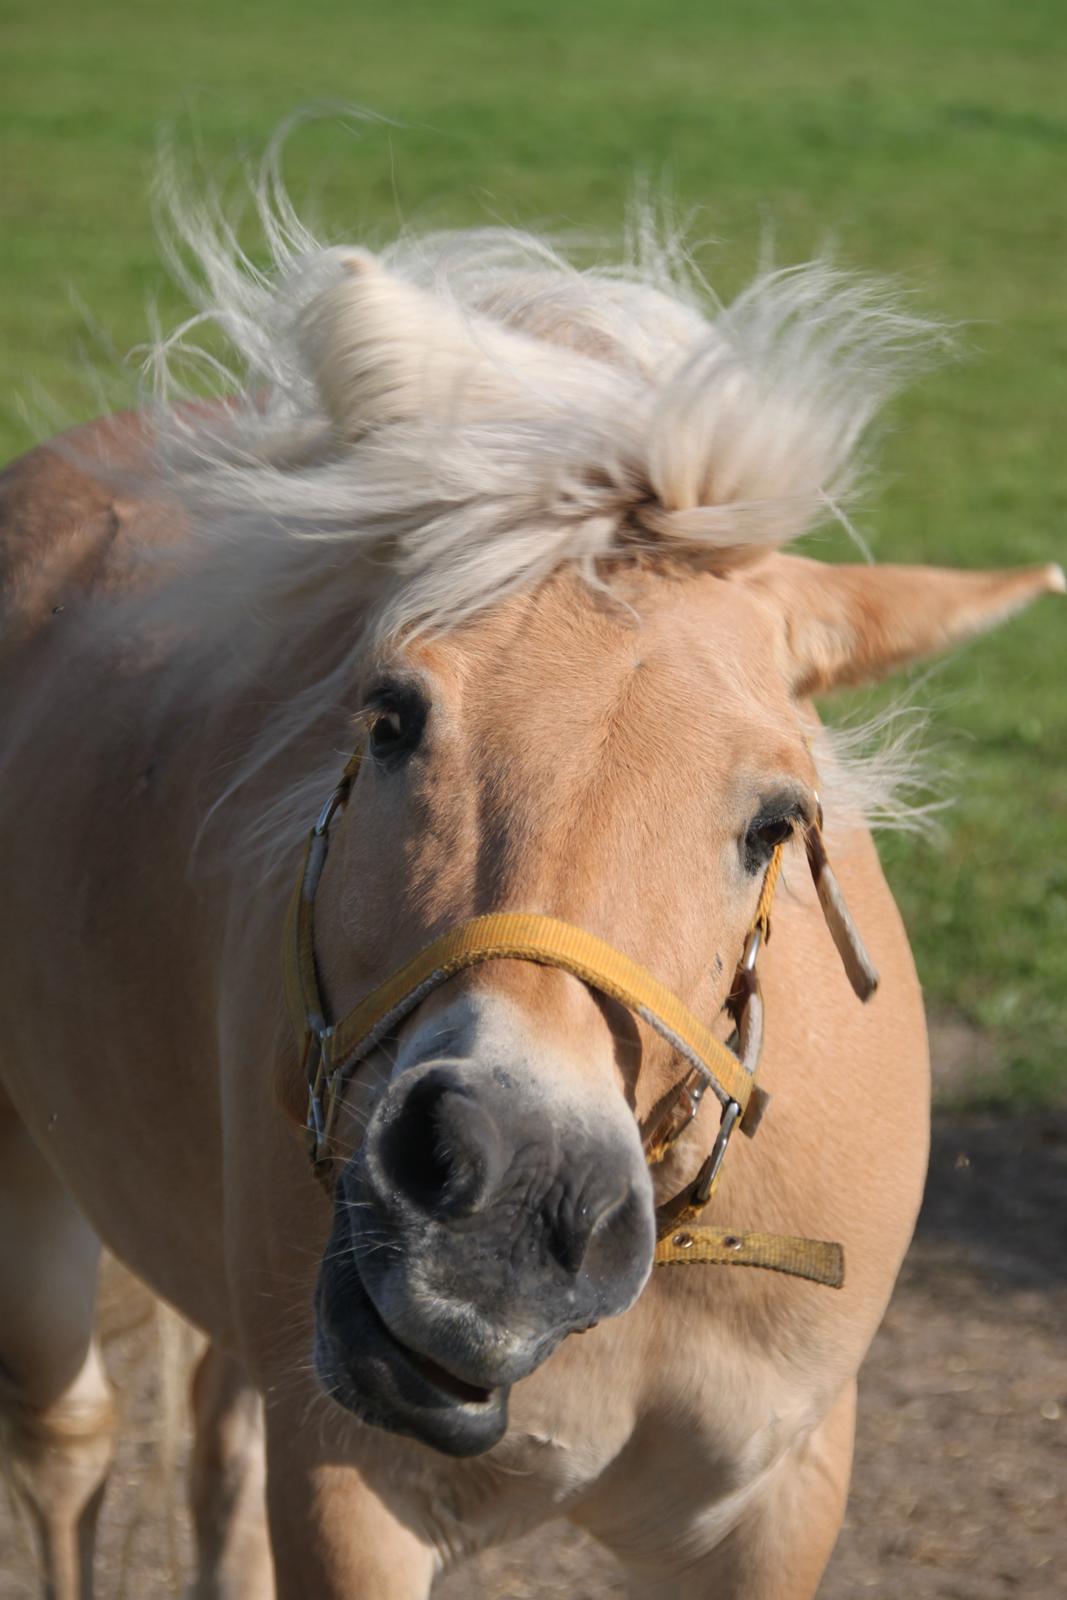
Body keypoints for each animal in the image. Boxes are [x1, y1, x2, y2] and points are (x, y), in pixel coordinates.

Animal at [0, 178, 1062, 1600]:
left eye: (774, 822)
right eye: (390, 717)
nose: (508, 1195)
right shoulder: (353, 1493)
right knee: (71, 1450)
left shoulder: (774, 1505)